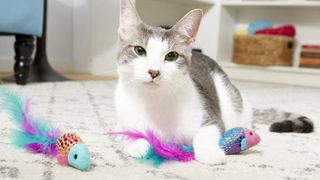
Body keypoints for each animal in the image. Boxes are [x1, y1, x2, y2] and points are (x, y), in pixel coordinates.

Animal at [114, 0, 314, 165]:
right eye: (139, 50)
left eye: (171, 56)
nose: (154, 72)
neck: (156, 103)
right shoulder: (124, 118)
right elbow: (126, 135)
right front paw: (137, 143)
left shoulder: (210, 115)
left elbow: (207, 132)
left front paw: (210, 152)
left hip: (231, 99)